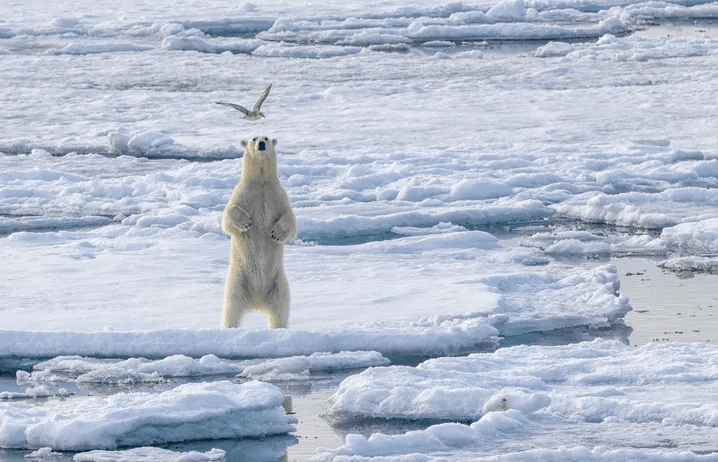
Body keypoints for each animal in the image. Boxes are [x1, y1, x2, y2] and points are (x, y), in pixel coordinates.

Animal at [221, 136, 297, 329]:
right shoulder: (243, 193)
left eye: (267, 138)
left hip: (278, 283)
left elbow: (291, 220)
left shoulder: (277, 195)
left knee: (280, 311)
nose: (261, 144)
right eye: (254, 138)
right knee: (231, 309)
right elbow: (228, 216)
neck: (261, 183)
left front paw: (276, 233)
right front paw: (246, 222)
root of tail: (256, 301)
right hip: (238, 280)